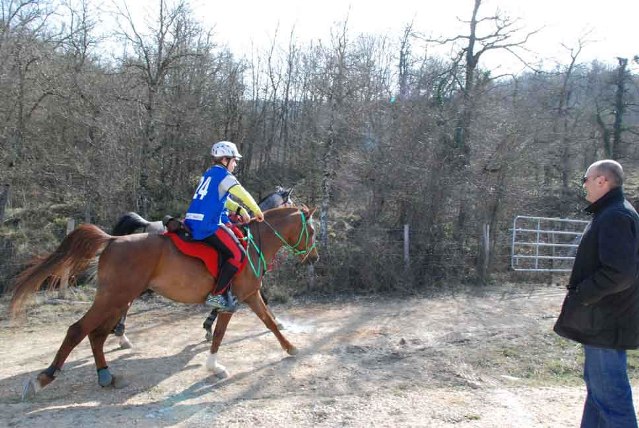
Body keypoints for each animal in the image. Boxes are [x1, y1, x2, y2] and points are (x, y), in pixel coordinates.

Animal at [10, 206, 320, 400]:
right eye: (314, 231)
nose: (314, 257)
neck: (253, 242)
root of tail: (114, 240)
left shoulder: (248, 297)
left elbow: (262, 322)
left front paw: (289, 347)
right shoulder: (240, 297)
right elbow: (230, 330)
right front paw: (215, 366)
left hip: (117, 299)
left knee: (97, 335)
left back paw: (106, 375)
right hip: (113, 298)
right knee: (78, 330)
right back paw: (43, 379)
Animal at [109, 187, 294, 348]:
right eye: (290, 202)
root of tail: (147, 224)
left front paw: (208, 326)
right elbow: (259, 298)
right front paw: (278, 321)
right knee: (125, 302)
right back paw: (122, 336)